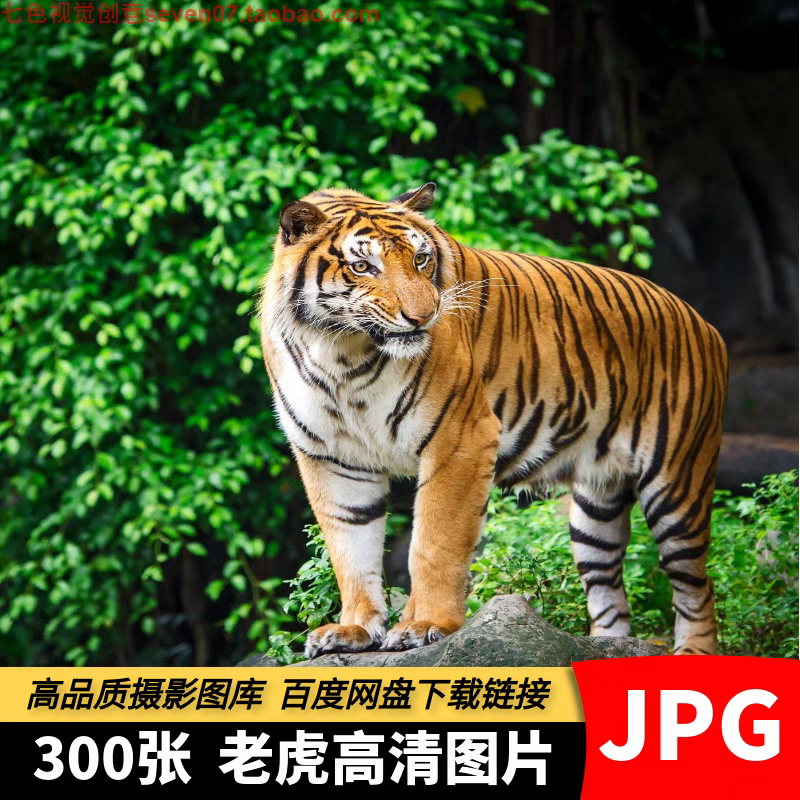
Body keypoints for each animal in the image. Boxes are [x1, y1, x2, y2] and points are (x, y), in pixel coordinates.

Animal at [259, 182, 728, 658]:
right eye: (362, 266)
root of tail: (703, 322)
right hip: (595, 508)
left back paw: (693, 652)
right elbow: (350, 550)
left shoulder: (459, 439)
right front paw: (353, 629)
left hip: (677, 483)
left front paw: (425, 624)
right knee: (608, 589)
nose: (424, 315)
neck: (342, 352)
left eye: (421, 259)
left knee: (697, 586)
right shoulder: (331, 458)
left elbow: (434, 543)